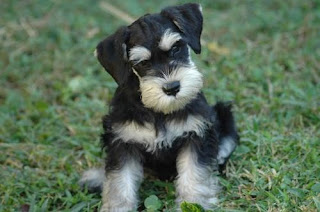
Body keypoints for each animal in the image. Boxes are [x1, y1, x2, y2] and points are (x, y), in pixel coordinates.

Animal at [81, 3, 239, 212]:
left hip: (223, 113)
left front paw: (194, 202)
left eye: (176, 48)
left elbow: (194, 173)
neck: (158, 111)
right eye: (142, 63)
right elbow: (119, 180)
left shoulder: (196, 134)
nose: (172, 88)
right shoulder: (122, 141)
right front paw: (118, 206)